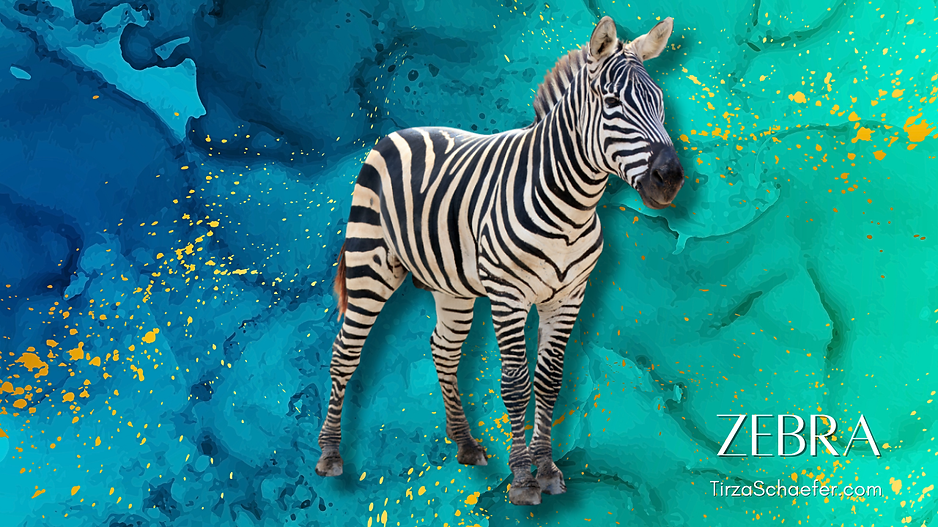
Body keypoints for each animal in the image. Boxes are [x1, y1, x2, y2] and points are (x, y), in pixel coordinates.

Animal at [315, 16, 684, 506]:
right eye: (612, 103)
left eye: (660, 103)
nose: (671, 178)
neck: (572, 206)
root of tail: (400, 131)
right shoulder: (509, 297)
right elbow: (515, 384)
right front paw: (523, 479)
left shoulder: (569, 296)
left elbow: (549, 380)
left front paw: (547, 470)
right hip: (368, 264)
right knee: (344, 351)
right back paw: (329, 454)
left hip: (451, 287)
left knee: (444, 350)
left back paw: (466, 444)